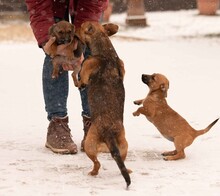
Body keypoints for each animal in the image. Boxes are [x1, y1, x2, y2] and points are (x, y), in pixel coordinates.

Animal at [77, 21, 131, 188]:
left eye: (80, 26)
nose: (73, 26)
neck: (106, 52)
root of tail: (109, 133)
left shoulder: (85, 72)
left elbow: (79, 78)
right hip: (124, 145)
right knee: (122, 161)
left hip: (89, 144)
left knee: (97, 163)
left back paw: (93, 172)